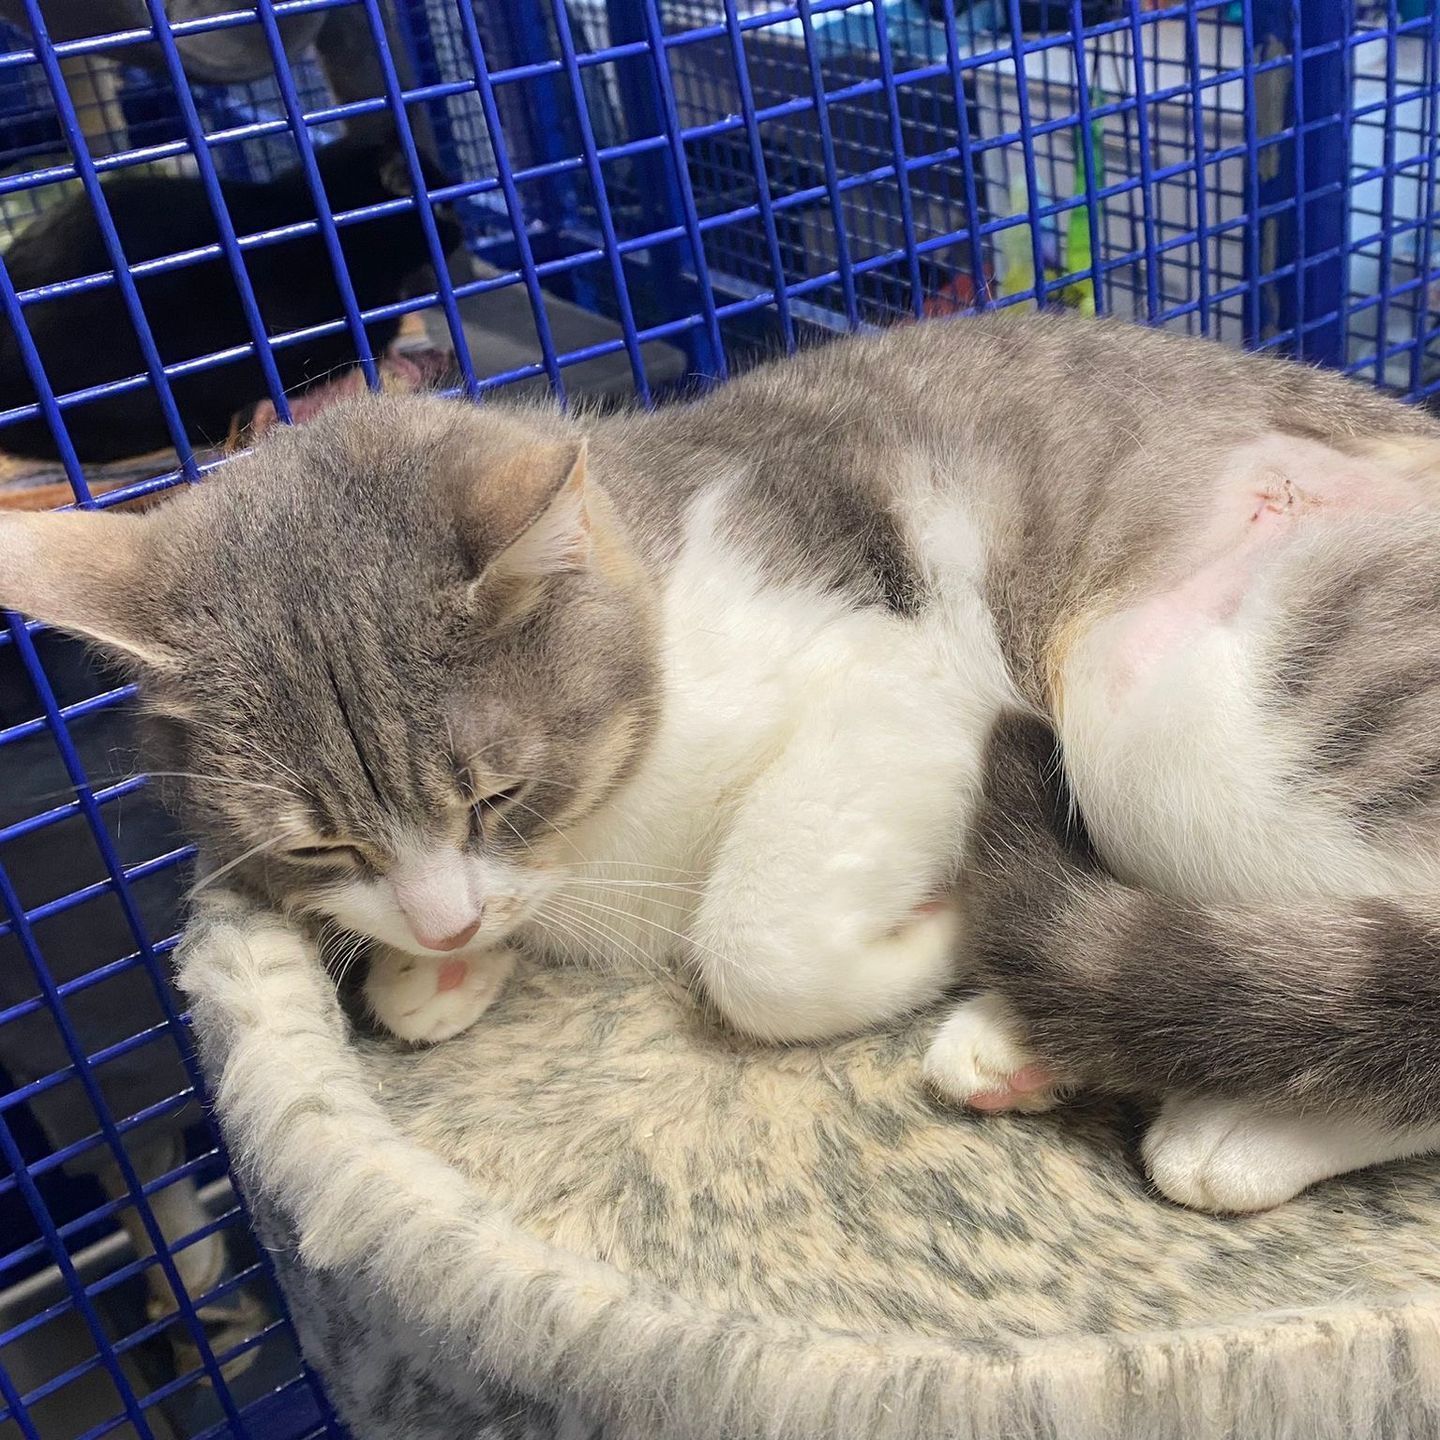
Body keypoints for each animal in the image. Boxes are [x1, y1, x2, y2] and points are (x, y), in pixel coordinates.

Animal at [2, 315, 1440, 1215]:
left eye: (497, 792)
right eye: (317, 843)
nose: (447, 920)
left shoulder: (912, 684)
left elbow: (756, 947)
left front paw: (931, 936)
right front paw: (439, 972)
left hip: (1157, 701)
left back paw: (1232, 1128)